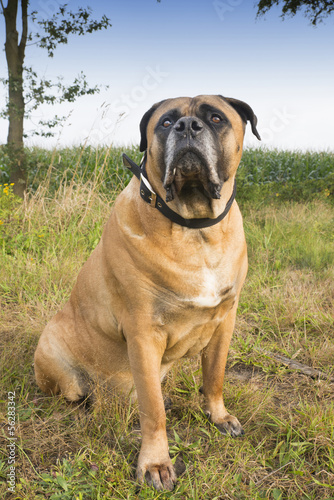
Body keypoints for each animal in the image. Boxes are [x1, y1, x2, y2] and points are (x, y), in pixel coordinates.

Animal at [35, 94, 262, 488]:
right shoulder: (143, 332)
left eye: (216, 118)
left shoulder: (225, 319)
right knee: (80, 394)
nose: (188, 126)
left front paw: (218, 416)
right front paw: (155, 463)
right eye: (166, 123)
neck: (194, 227)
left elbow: (214, 376)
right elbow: (152, 410)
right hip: (54, 357)